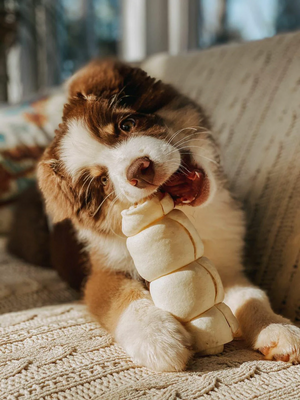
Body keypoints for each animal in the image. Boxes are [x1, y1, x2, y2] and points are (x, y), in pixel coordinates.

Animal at [37, 59, 300, 372]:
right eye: (102, 181)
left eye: (127, 124)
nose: (139, 170)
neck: (191, 216)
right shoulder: (100, 270)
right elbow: (119, 297)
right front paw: (157, 338)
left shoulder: (227, 263)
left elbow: (252, 295)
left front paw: (279, 328)